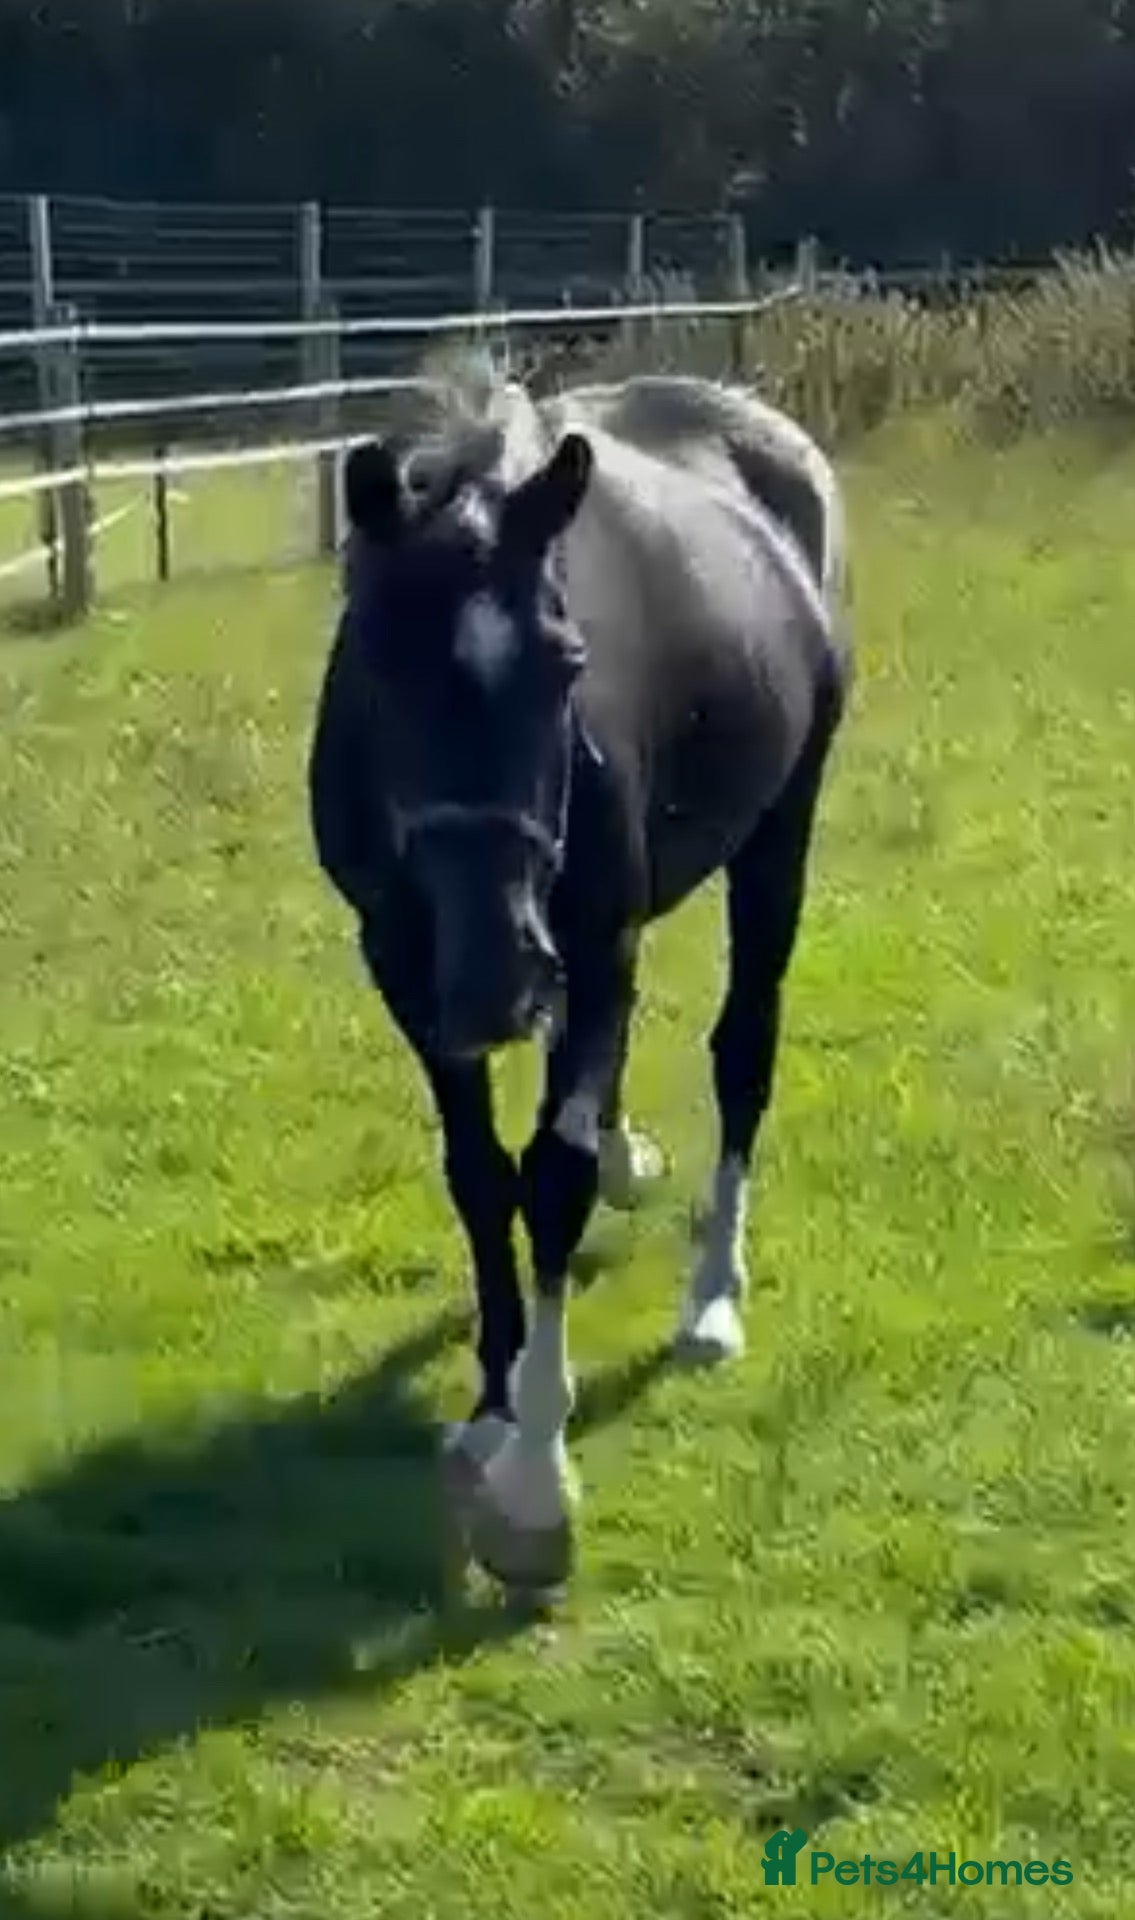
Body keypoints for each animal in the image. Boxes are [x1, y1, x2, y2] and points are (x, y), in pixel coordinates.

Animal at [307, 367, 851, 1597]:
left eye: (565, 663)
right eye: (377, 663)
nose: (496, 976)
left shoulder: (592, 947)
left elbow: (545, 1181)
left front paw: (534, 1487)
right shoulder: (403, 968)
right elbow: (478, 1177)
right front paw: (493, 1404)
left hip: (776, 837)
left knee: (743, 1052)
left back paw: (710, 1299)